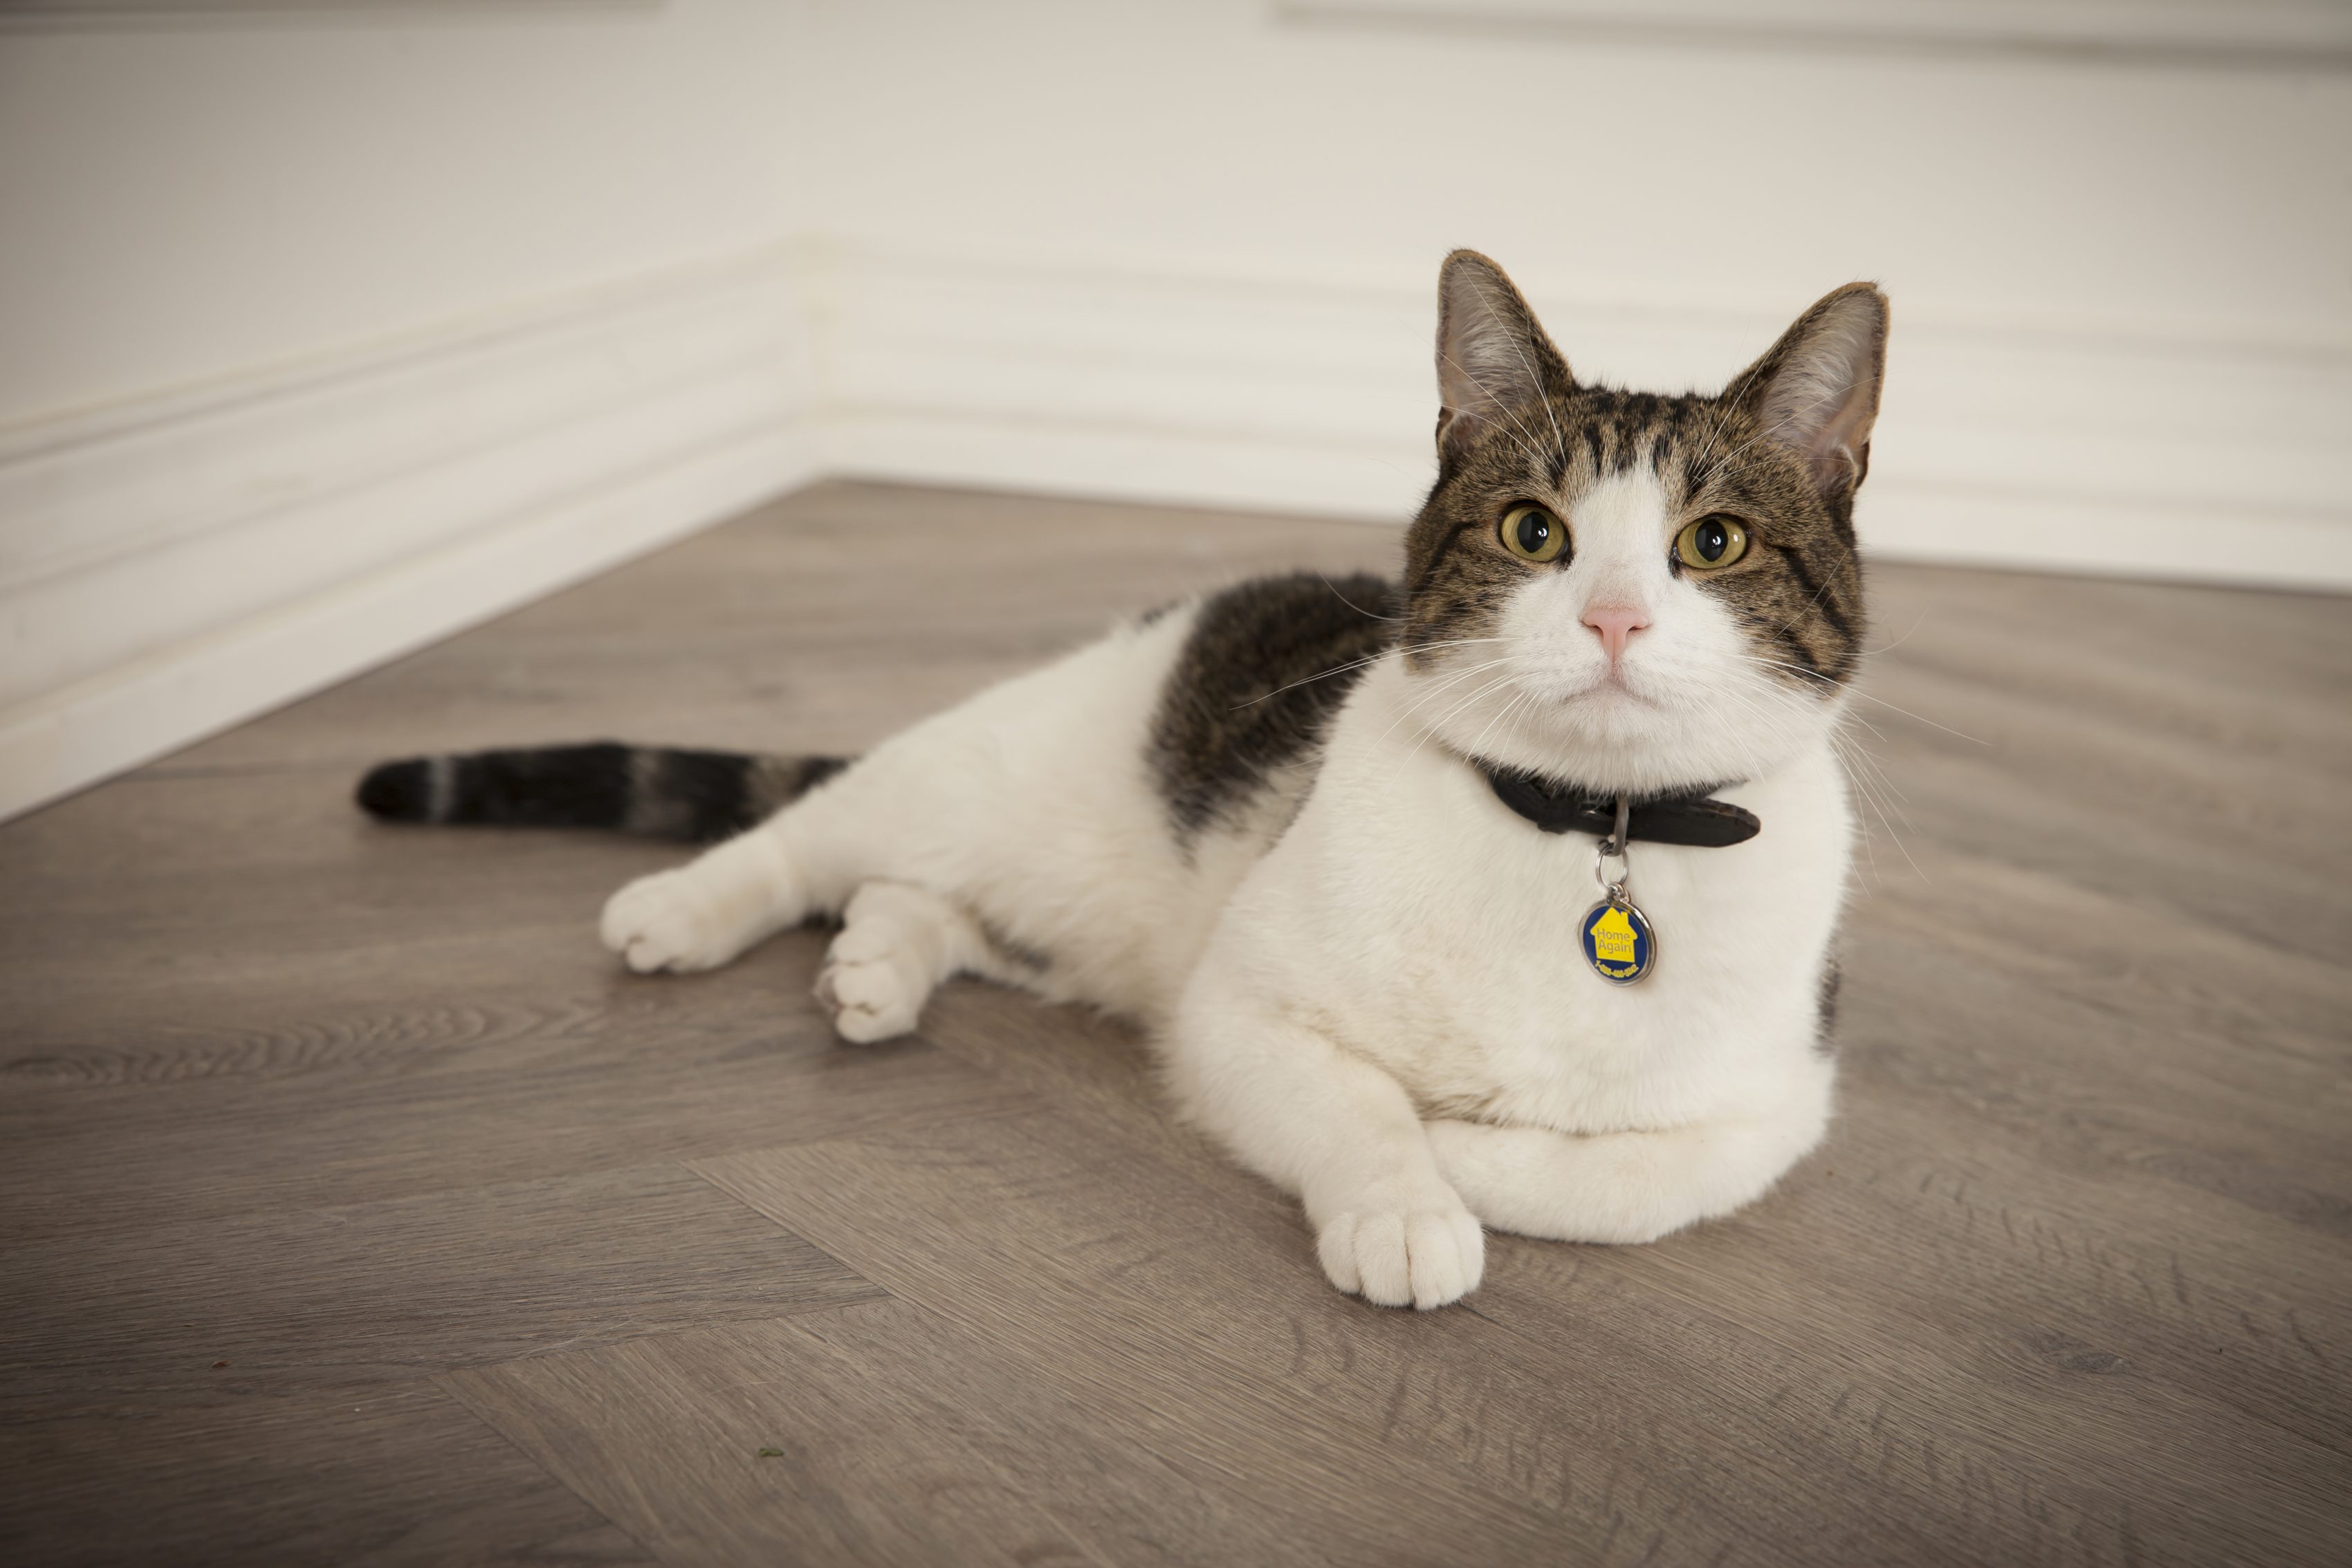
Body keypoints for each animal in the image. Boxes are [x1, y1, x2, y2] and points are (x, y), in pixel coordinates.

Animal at [357, 251, 1882, 1316]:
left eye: (1713, 541)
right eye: (1532, 532)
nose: (1614, 618)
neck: (1588, 829)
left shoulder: (1782, 1103)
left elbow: (1634, 1175)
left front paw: (1474, 1146)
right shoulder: (1236, 1006)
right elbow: (1361, 1104)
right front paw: (1409, 1194)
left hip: (1075, 920)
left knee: (928, 901)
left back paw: (879, 962)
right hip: (977, 771)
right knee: (817, 832)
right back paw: (686, 906)